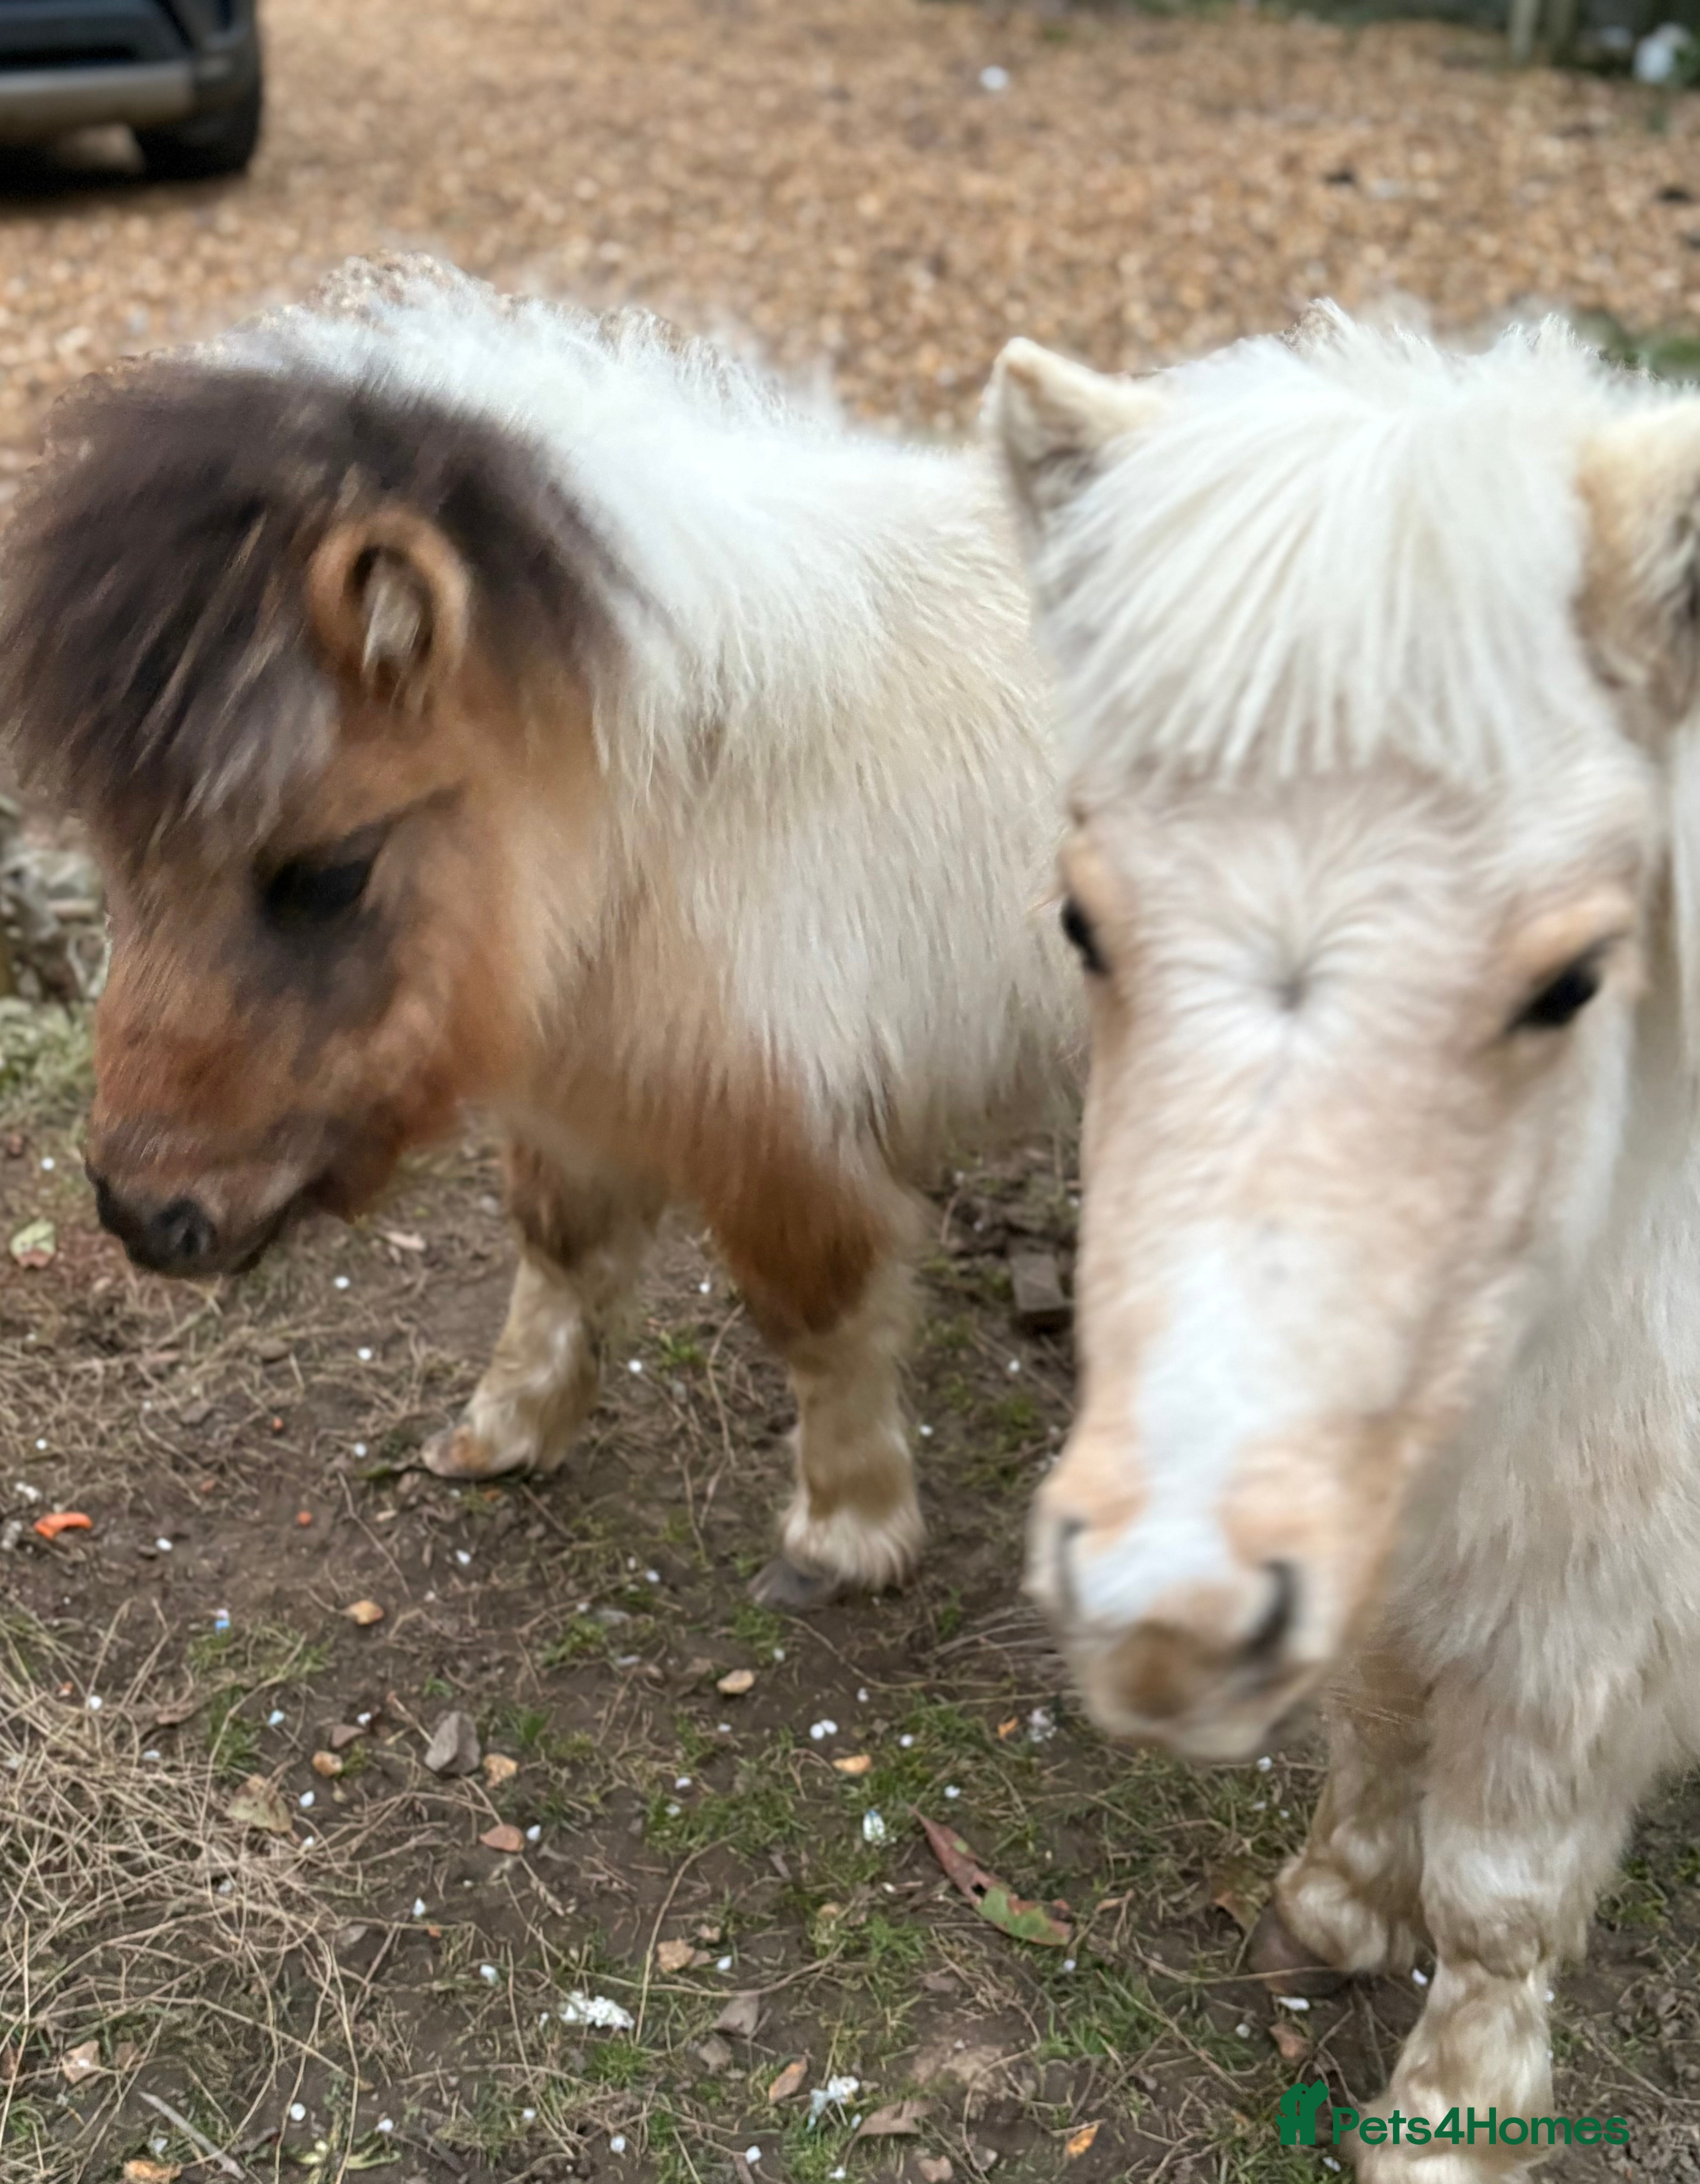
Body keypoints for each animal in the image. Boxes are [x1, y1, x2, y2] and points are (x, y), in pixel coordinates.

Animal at [0, 252, 1078, 1609]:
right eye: (117, 852)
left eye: (330, 872)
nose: (147, 1216)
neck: (699, 792)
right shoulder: (580, 1080)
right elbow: (559, 1248)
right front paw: (502, 1433)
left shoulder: (774, 1126)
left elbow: (814, 1305)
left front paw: (845, 1530)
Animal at [989, 307, 1700, 2176]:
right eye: (1082, 916)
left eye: (1570, 977)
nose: (1161, 1618)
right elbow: (1378, 1716)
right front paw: (1335, 1904)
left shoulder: (1593, 1597)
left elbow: (1505, 1875)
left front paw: (1451, 2113)